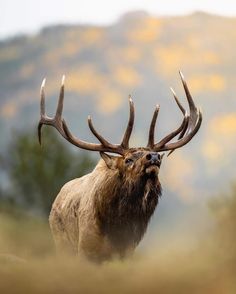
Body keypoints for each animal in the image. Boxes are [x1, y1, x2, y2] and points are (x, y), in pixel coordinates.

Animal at [37, 72, 202, 262]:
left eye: (157, 155)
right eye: (128, 159)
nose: (153, 156)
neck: (118, 227)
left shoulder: (128, 250)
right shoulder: (86, 248)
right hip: (61, 242)